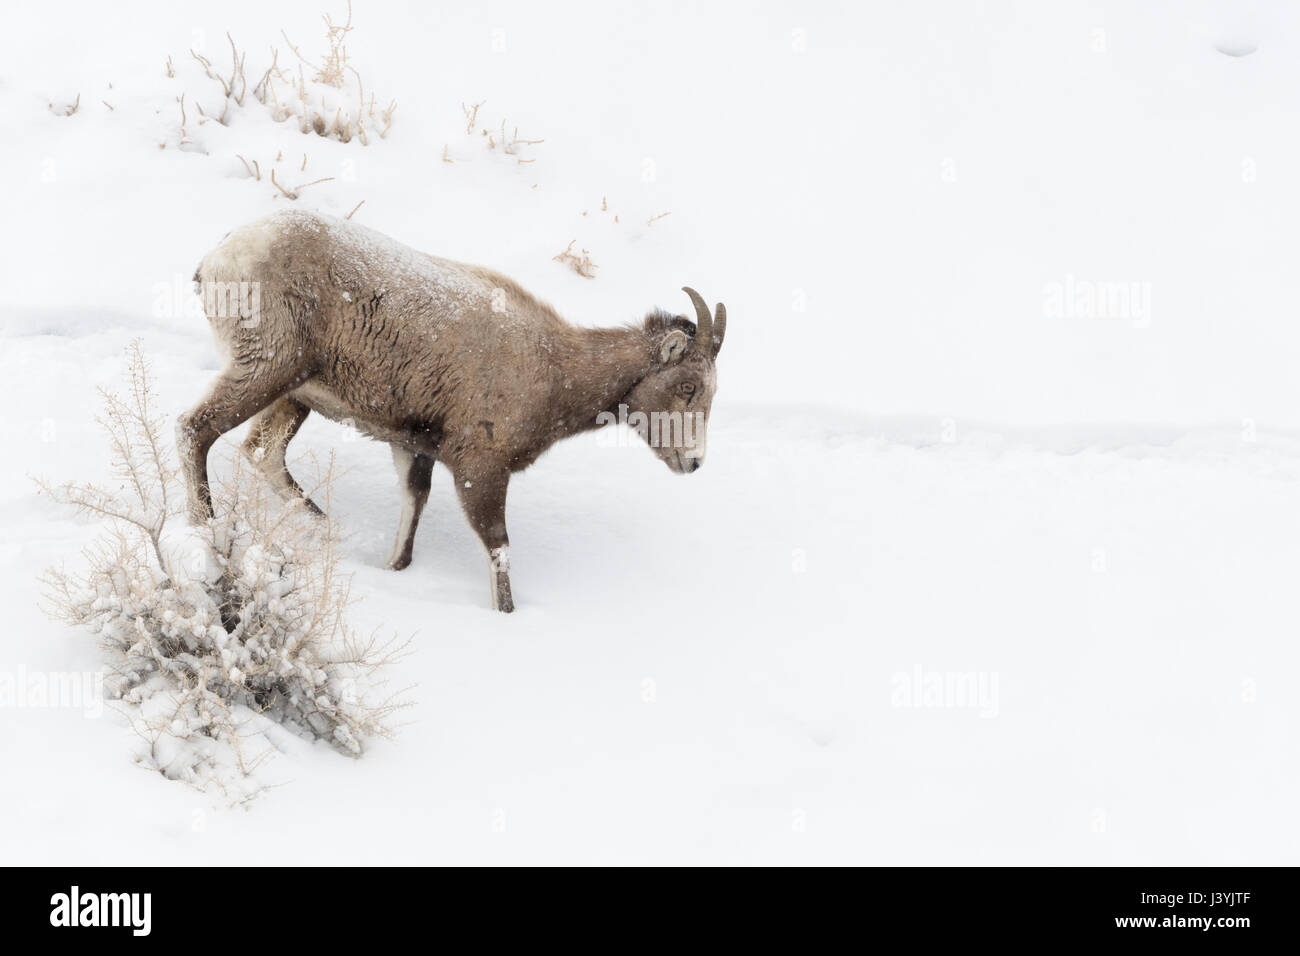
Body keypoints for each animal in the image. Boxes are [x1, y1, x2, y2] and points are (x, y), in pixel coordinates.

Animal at [178, 210, 728, 613]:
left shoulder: (414, 447)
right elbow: (499, 548)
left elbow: (411, 518)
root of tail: (218, 259)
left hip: (292, 394)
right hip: (265, 371)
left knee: (262, 453)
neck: (553, 368)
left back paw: (325, 527)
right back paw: (206, 533)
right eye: (686, 386)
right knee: (196, 431)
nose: (694, 462)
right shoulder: (479, 470)